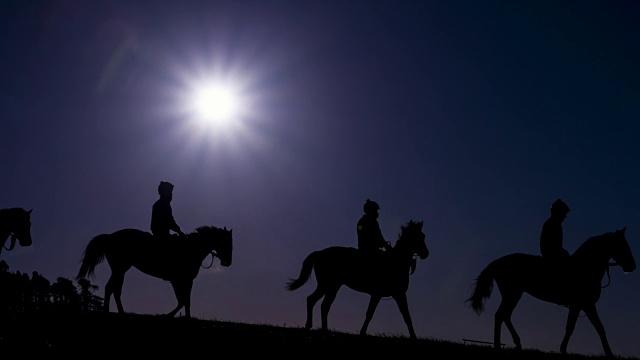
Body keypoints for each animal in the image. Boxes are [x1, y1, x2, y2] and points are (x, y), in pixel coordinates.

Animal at [77, 225, 232, 318]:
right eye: (227, 243)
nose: (228, 262)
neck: (191, 249)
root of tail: (109, 236)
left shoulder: (185, 281)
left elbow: (186, 301)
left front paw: (186, 317)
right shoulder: (178, 280)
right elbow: (182, 301)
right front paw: (168, 315)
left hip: (120, 269)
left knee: (114, 289)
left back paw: (119, 312)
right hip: (119, 268)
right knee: (111, 288)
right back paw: (110, 312)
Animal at [286, 219, 430, 340]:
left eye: (423, 235)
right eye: (417, 236)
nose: (426, 253)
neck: (396, 261)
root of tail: (318, 253)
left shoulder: (398, 295)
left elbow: (406, 316)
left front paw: (414, 337)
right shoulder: (379, 294)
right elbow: (370, 313)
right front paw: (362, 332)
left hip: (333, 287)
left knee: (323, 305)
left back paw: (324, 329)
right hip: (326, 285)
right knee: (312, 300)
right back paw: (310, 326)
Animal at [464, 228, 636, 358]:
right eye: (622, 245)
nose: (632, 266)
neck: (584, 268)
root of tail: (498, 262)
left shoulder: (583, 306)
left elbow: (591, 327)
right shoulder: (582, 305)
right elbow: (579, 327)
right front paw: (565, 350)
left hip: (514, 294)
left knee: (504, 315)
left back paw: (516, 343)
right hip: (512, 293)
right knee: (501, 315)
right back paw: (499, 346)